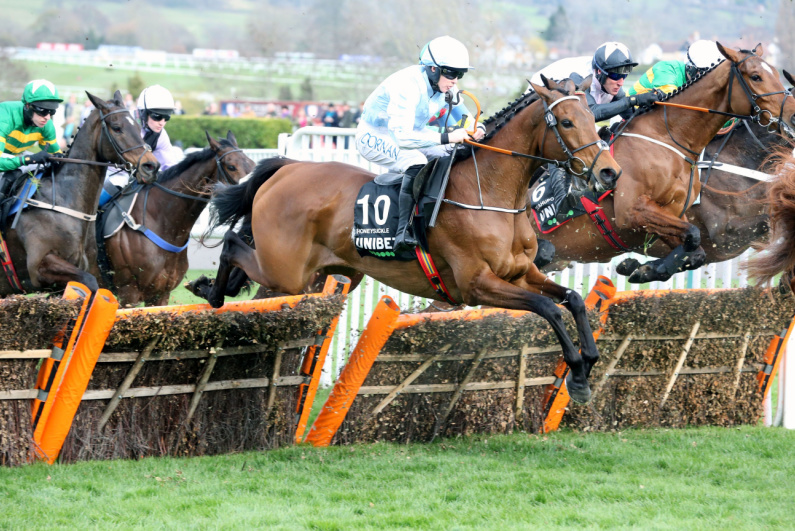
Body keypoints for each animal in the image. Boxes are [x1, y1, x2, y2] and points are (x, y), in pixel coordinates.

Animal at [0, 93, 160, 298]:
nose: (151, 167)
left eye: (139, 127)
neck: (63, 201)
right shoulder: (41, 264)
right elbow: (89, 283)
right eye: (117, 128)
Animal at [528, 44, 795, 284]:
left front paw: (641, 268)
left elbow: (695, 249)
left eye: (775, 73)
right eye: (756, 76)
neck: (668, 139)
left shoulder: (670, 219)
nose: (792, 116)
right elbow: (701, 236)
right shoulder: (636, 212)